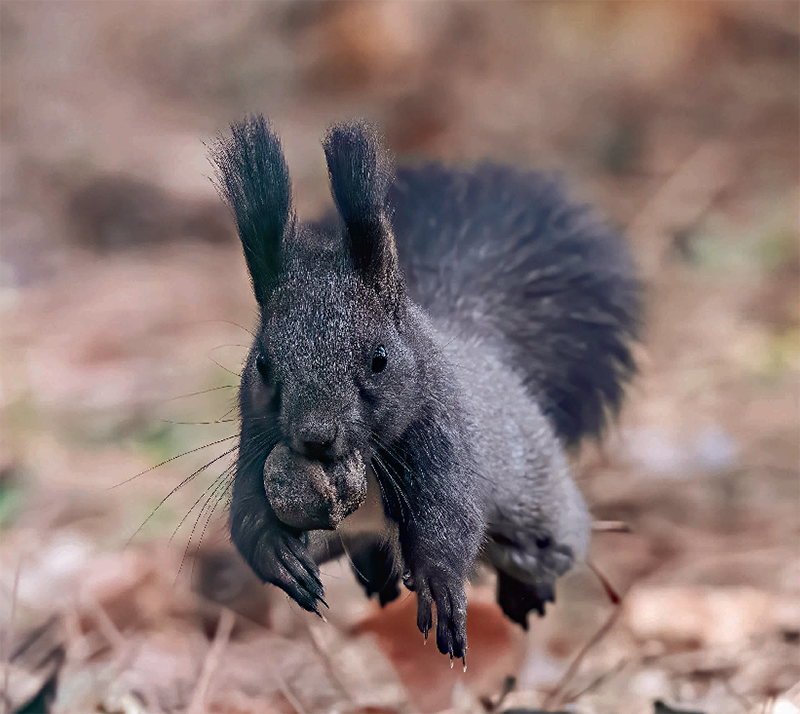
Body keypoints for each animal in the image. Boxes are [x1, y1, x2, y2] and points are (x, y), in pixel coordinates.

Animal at [209, 112, 640, 660]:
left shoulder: (444, 438)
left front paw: (439, 587)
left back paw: (527, 592)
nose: (315, 437)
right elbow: (247, 517)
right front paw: (279, 555)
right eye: (262, 363)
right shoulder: (256, 439)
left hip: (537, 504)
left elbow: (448, 522)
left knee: (549, 545)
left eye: (379, 360)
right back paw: (378, 576)